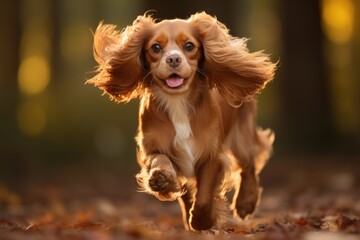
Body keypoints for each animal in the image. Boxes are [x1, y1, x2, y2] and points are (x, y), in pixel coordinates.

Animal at [87, 11, 276, 231]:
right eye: (155, 48)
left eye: (189, 46)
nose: (173, 59)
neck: (177, 102)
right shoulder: (153, 149)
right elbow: (160, 161)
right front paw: (161, 179)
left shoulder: (212, 155)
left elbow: (204, 196)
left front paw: (203, 221)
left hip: (241, 135)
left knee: (249, 164)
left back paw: (246, 202)